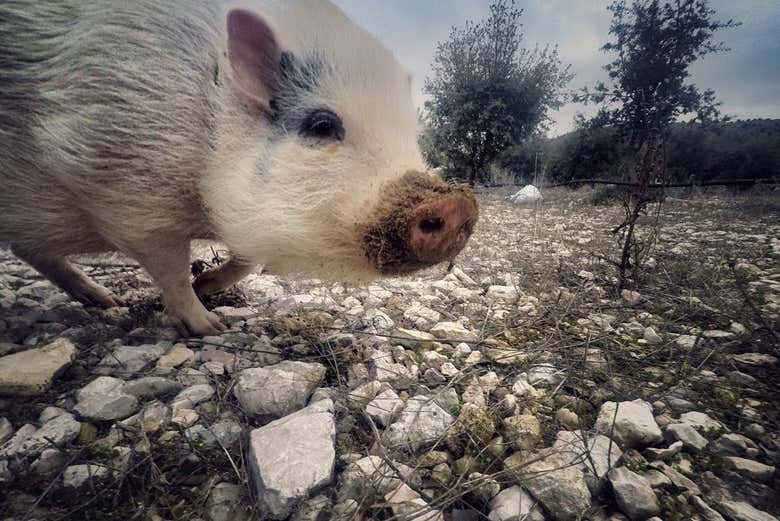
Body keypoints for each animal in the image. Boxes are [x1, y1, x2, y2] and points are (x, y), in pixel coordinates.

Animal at [0, 1, 478, 334]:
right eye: (322, 125)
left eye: (411, 130)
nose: (457, 204)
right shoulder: (127, 193)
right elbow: (172, 271)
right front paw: (212, 328)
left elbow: (247, 261)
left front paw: (209, 284)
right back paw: (112, 305)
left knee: (30, 250)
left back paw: (105, 303)